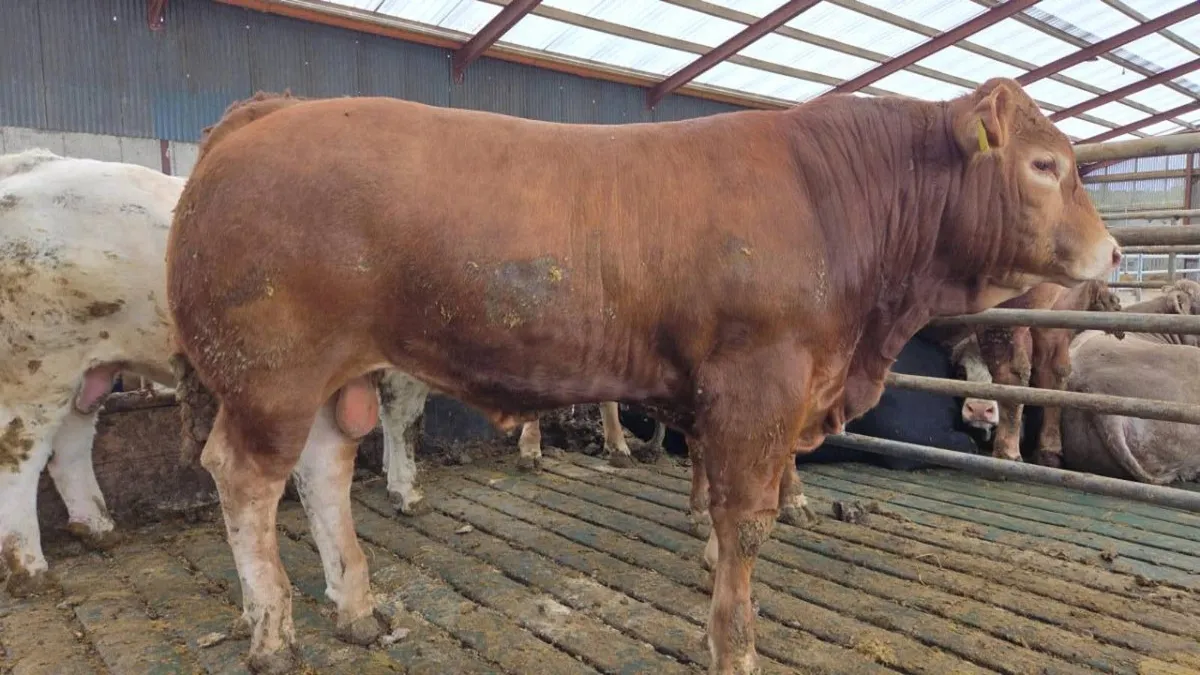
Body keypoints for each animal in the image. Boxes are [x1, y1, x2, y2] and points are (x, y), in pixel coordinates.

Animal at [0, 149, 185, 597]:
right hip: (38, 367)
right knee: (17, 457)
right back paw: (29, 569)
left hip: (88, 370)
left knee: (69, 449)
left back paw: (98, 529)